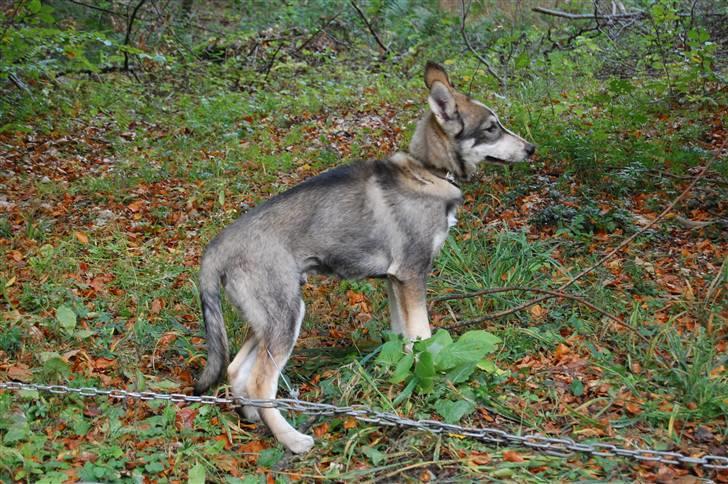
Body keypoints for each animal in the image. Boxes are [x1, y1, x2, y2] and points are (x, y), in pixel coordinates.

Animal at [193, 61, 536, 454]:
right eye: (492, 128)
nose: (531, 149)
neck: (428, 172)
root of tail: (219, 244)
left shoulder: (394, 282)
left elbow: (407, 339)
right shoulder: (412, 275)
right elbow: (424, 337)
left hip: (269, 319)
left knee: (236, 370)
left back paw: (254, 417)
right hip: (286, 318)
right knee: (260, 381)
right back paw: (292, 439)